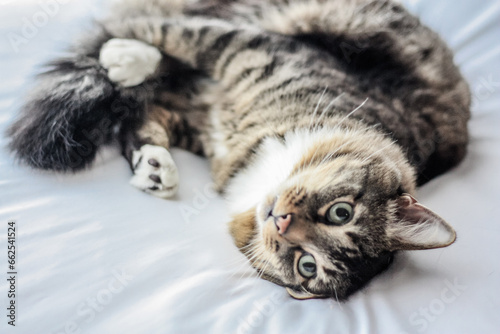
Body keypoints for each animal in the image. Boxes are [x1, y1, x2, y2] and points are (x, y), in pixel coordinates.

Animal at [6, 0, 468, 302]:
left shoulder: (203, 118)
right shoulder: (256, 48)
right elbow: (173, 36)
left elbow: (151, 100)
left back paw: (155, 166)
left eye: (306, 267)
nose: (281, 222)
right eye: (341, 212)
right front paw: (126, 53)